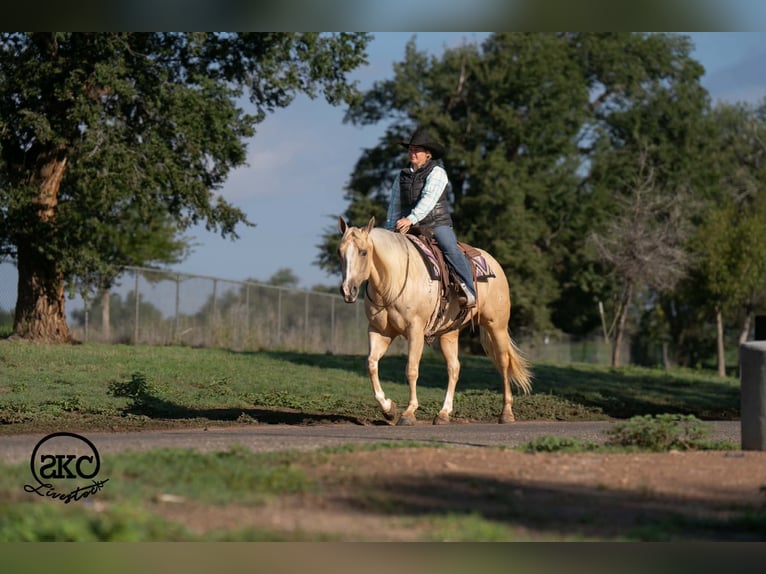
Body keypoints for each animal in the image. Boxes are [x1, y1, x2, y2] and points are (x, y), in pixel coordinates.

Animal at [338, 216, 532, 425]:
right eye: (340, 252)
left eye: (363, 252)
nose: (347, 290)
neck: (393, 279)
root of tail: (493, 263)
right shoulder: (378, 331)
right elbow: (371, 364)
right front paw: (389, 409)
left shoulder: (415, 330)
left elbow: (411, 369)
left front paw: (408, 413)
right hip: (450, 332)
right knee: (454, 368)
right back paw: (443, 414)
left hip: (497, 325)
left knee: (504, 363)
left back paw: (506, 413)